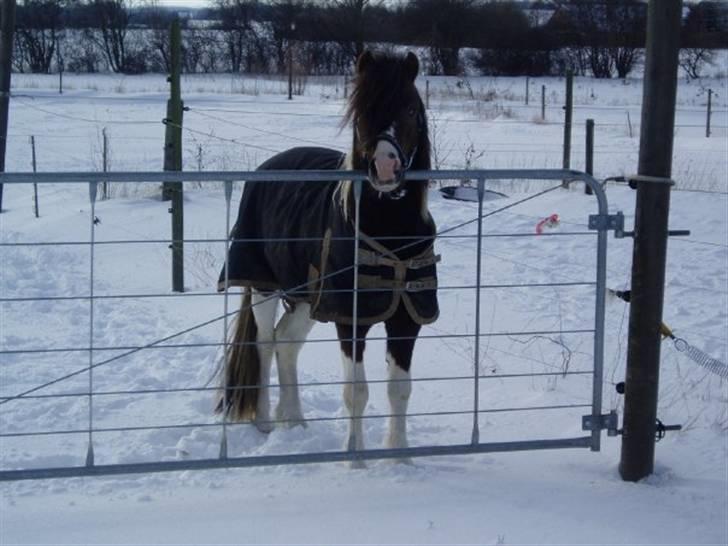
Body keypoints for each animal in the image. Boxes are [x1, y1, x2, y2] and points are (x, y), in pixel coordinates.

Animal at [213, 51, 436, 460]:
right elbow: (356, 392)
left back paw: (295, 422)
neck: (390, 231)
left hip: (306, 297)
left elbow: (399, 390)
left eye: (412, 108)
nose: (385, 166)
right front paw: (356, 460)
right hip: (265, 286)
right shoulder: (350, 319)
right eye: (362, 110)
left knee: (287, 343)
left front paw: (400, 458)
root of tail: (267, 168)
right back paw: (266, 423)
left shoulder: (406, 317)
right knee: (265, 343)